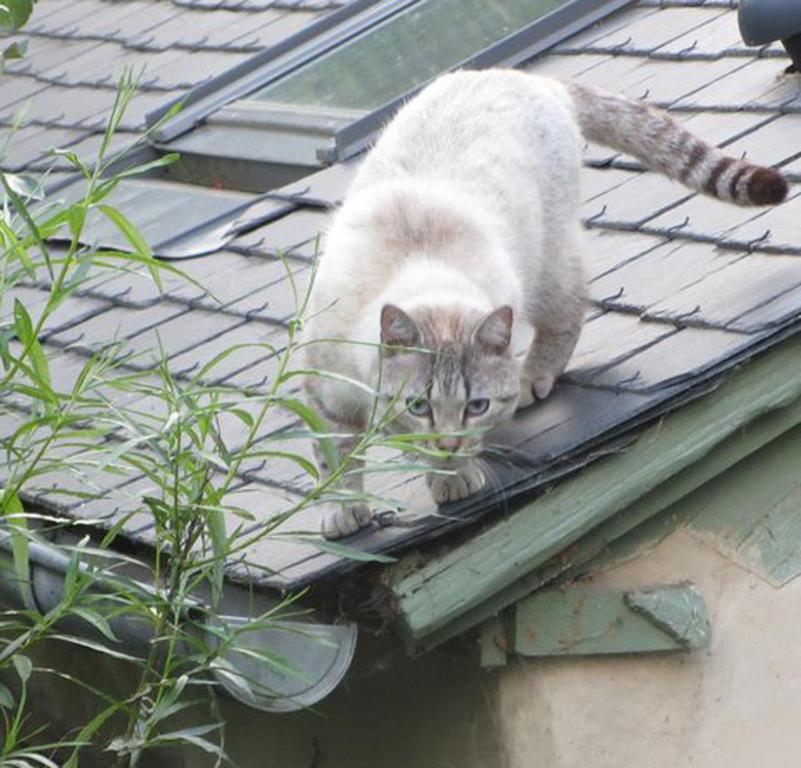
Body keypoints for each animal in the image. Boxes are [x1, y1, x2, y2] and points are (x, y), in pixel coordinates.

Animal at [302, 72, 788, 540]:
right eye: (418, 407)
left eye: (476, 406)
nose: (449, 443)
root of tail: (534, 79)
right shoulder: (326, 394)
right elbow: (334, 459)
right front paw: (342, 514)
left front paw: (451, 478)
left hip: (545, 267)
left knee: (571, 307)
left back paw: (532, 378)